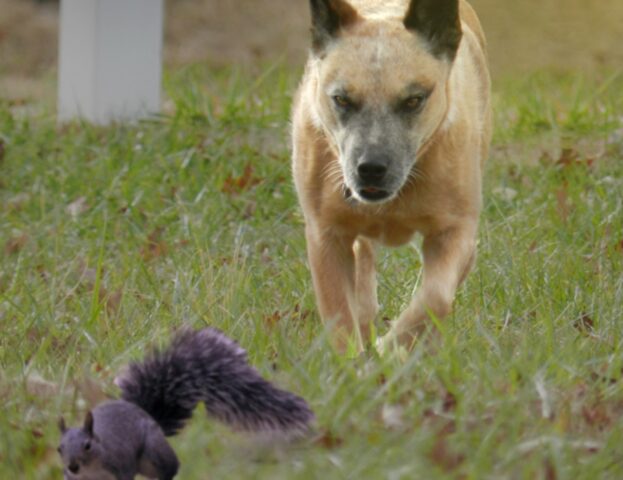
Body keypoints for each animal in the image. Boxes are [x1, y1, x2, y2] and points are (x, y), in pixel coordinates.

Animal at [292, 0, 492, 352]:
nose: (371, 167)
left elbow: (436, 296)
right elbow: (339, 314)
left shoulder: (458, 231)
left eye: (414, 100)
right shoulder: (325, 234)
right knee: (363, 257)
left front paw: (392, 349)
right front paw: (355, 361)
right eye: (341, 99)